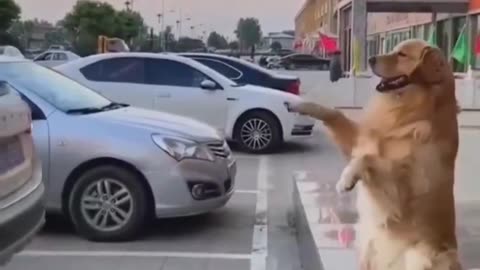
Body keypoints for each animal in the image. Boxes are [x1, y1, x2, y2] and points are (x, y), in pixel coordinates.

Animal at [290, 38, 464, 270]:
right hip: (367, 245)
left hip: (422, 255)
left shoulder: (400, 191)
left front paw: (346, 179)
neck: (409, 114)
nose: (371, 59)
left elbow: (368, 159)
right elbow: (334, 114)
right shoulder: (359, 141)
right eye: (394, 49)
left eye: (402, 54)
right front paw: (298, 104)